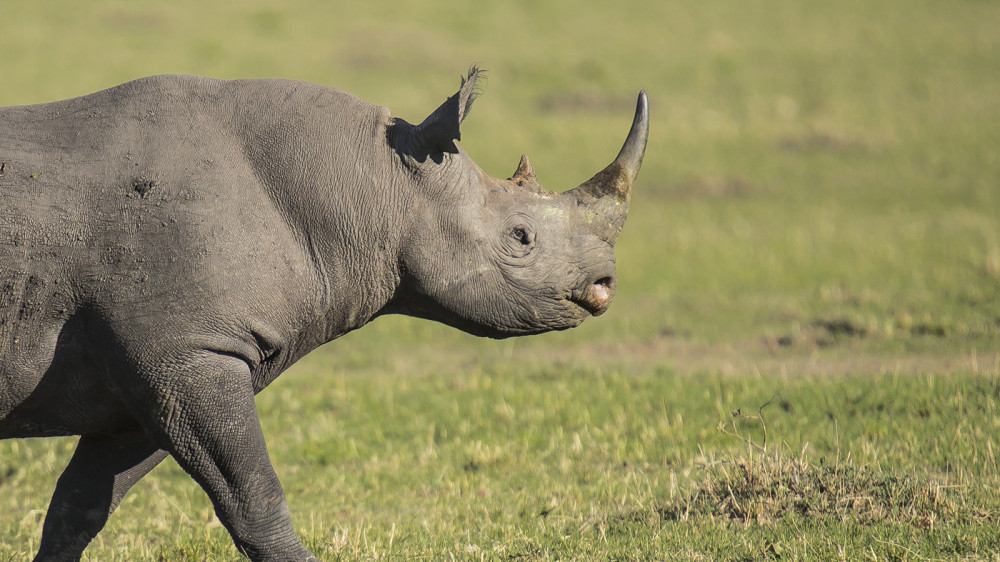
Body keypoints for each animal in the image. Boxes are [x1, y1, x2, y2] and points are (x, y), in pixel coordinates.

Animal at [1, 68, 648, 556]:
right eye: (520, 237)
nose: (605, 282)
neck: (374, 187)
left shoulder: (155, 370)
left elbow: (81, 507)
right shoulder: (185, 354)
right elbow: (254, 498)